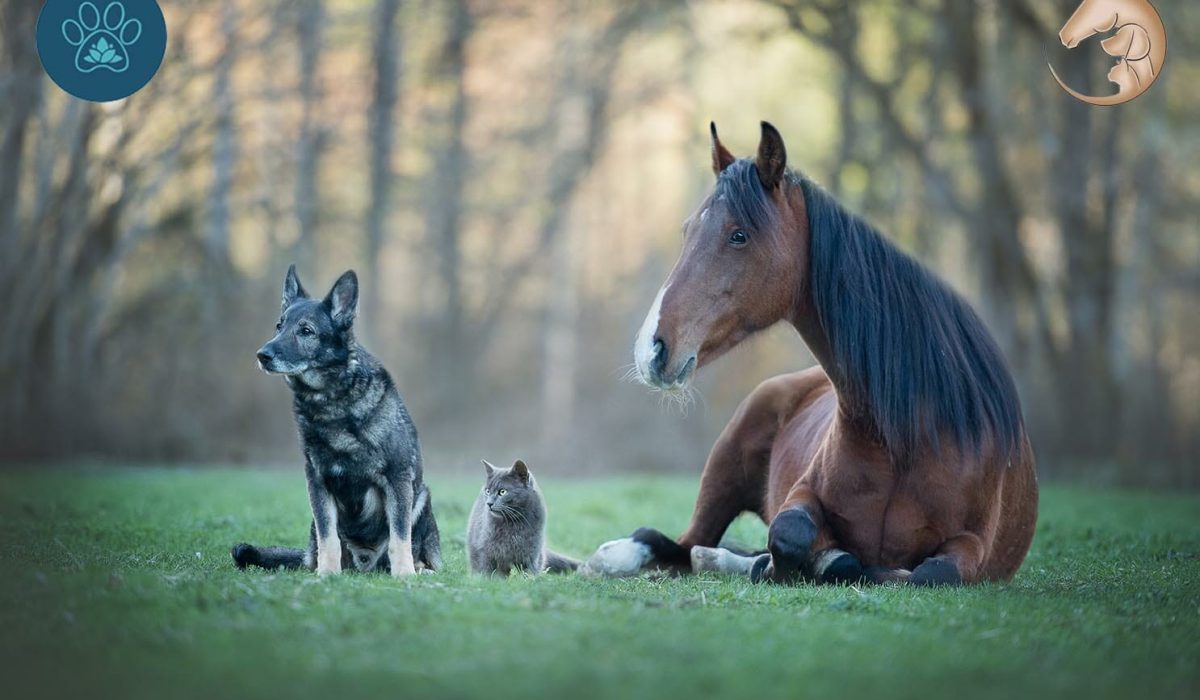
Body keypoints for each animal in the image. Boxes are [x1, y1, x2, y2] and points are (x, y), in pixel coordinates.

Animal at [231, 265, 444, 578]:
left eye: (306, 331)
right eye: (278, 326)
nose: (262, 355)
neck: (332, 401)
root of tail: (366, 564)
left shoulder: (398, 479)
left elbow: (399, 536)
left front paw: (404, 575)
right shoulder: (318, 483)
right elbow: (328, 536)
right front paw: (327, 574)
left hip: (422, 497)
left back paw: (419, 569)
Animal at [580, 121, 1032, 585]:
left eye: (739, 235)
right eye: (688, 230)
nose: (651, 349)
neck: (909, 434)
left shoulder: (974, 543)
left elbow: (930, 573)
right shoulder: (802, 496)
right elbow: (793, 534)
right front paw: (809, 560)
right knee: (683, 544)